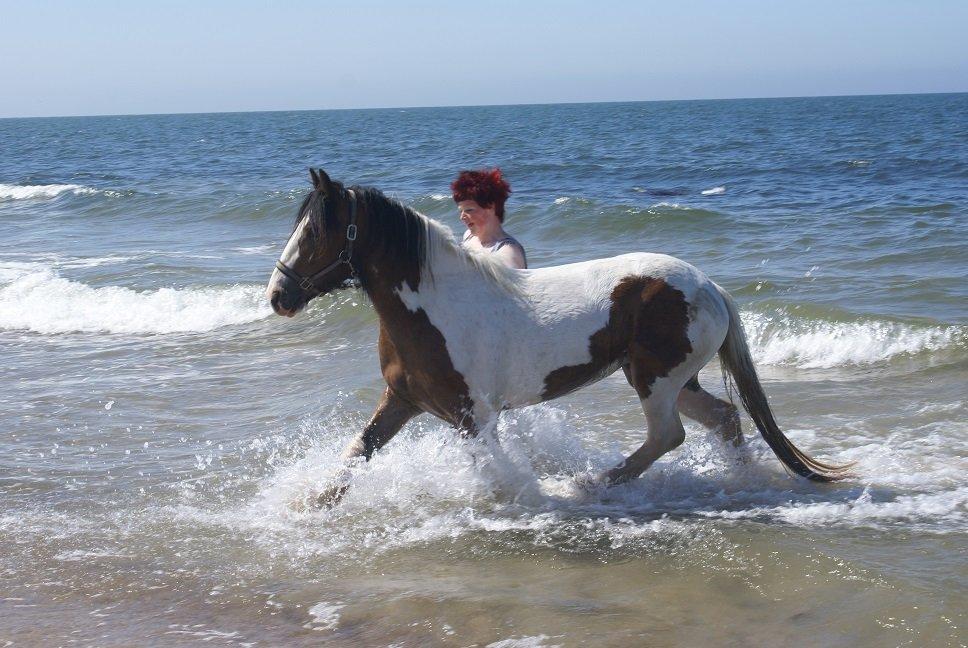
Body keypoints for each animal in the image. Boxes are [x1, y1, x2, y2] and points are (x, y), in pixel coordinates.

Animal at [264, 170, 848, 504]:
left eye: (316, 232)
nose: (278, 296)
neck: (435, 309)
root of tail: (709, 286)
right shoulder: (403, 401)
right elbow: (357, 453)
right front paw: (311, 504)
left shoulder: (472, 416)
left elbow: (495, 474)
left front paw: (522, 500)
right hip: (673, 379)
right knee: (723, 419)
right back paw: (740, 483)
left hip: (656, 381)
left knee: (668, 436)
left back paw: (586, 485)